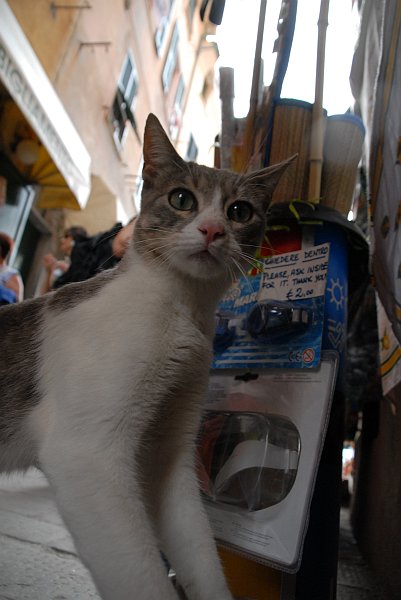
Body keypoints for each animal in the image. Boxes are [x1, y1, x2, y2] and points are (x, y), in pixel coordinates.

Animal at [0, 113, 294, 600]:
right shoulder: (86, 453)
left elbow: (199, 552)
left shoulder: (169, 454)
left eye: (239, 212)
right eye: (182, 199)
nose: (212, 230)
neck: (180, 311)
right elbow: (142, 576)